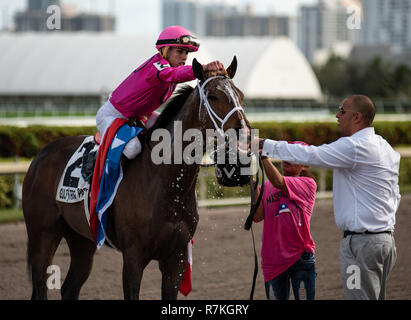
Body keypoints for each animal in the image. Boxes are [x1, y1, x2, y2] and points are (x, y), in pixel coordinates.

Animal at [22, 57, 251, 300]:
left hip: (82, 239)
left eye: (240, 95)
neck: (167, 183)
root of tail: (41, 154)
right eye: (213, 96)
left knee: (69, 288)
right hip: (43, 235)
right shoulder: (133, 257)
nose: (244, 136)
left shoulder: (176, 259)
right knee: (41, 288)